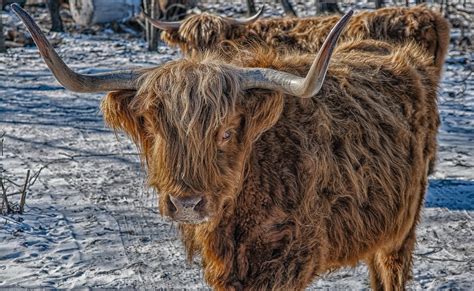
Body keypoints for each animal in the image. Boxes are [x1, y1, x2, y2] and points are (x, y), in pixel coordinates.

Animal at [12, 4, 446, 291]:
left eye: (225, 132)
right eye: (154, 128)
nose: (187, 203)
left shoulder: (287, 260)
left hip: (402, 228)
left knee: (391, 270)